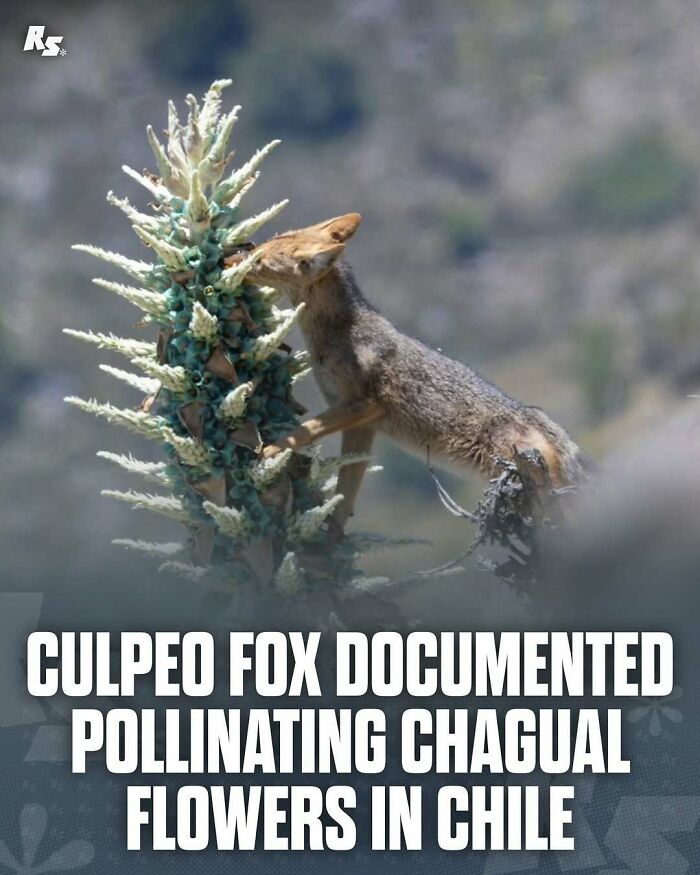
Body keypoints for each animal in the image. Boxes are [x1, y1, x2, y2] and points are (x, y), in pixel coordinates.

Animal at [227, 213, 588, 531]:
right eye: (265, 242)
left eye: (259, 262)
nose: (233, 258)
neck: (338, 331)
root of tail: (547, 423)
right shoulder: (362, 425)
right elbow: (346, 489)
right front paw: (334, 530)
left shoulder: (362, 406)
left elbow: (304, 431)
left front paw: (270, 450)